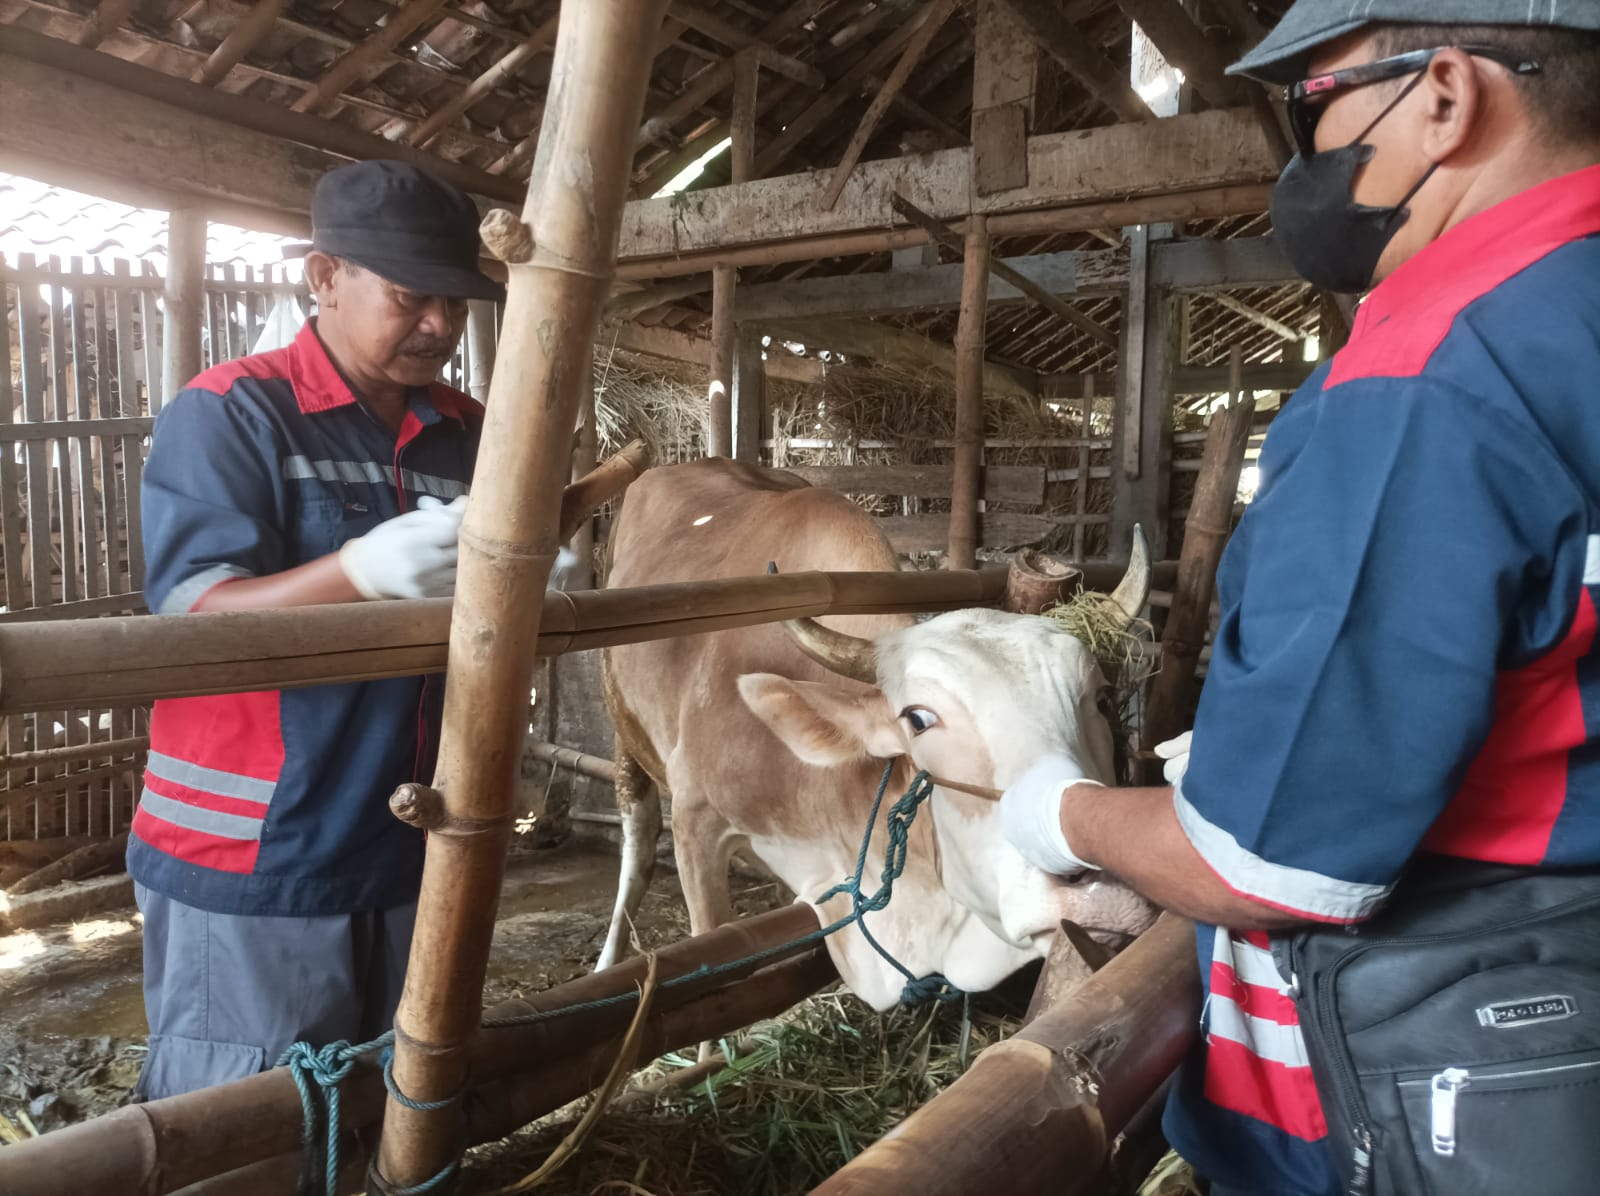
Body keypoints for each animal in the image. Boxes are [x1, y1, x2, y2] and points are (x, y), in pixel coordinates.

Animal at [595, 460, 1158, 1010]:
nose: (1099, 882)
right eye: (918, 719)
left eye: (1102, 698)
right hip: (625, 732)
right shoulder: (696, 824)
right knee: (638, 842)